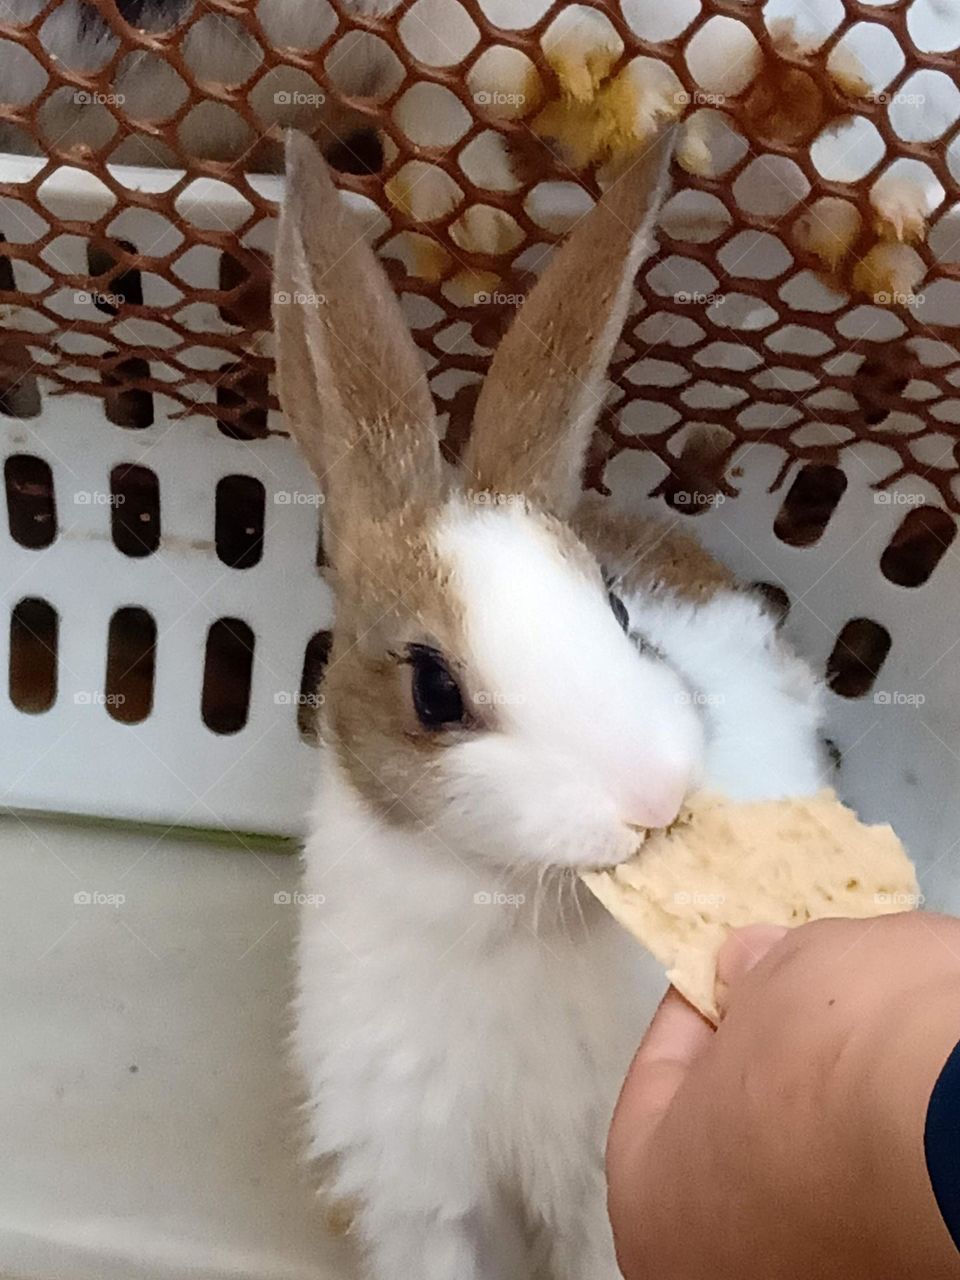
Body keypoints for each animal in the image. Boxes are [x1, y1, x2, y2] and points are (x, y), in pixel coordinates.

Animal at [273, 123, 825, 1280]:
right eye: (435, 689)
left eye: (613, 605)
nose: (655, 794)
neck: (510, 908)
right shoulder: (416, 1182)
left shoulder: (595, 1188)